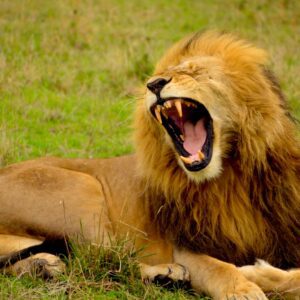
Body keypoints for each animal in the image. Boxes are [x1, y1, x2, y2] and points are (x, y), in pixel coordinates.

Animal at [0, 31, 300, 298]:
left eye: (195, 71)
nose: (153, 84)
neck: (232, 176)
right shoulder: (184, 246)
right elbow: (220, 268)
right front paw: (245, 288)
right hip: (83, 192)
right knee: (103, 259)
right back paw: (165, 274)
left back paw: (42, 266)